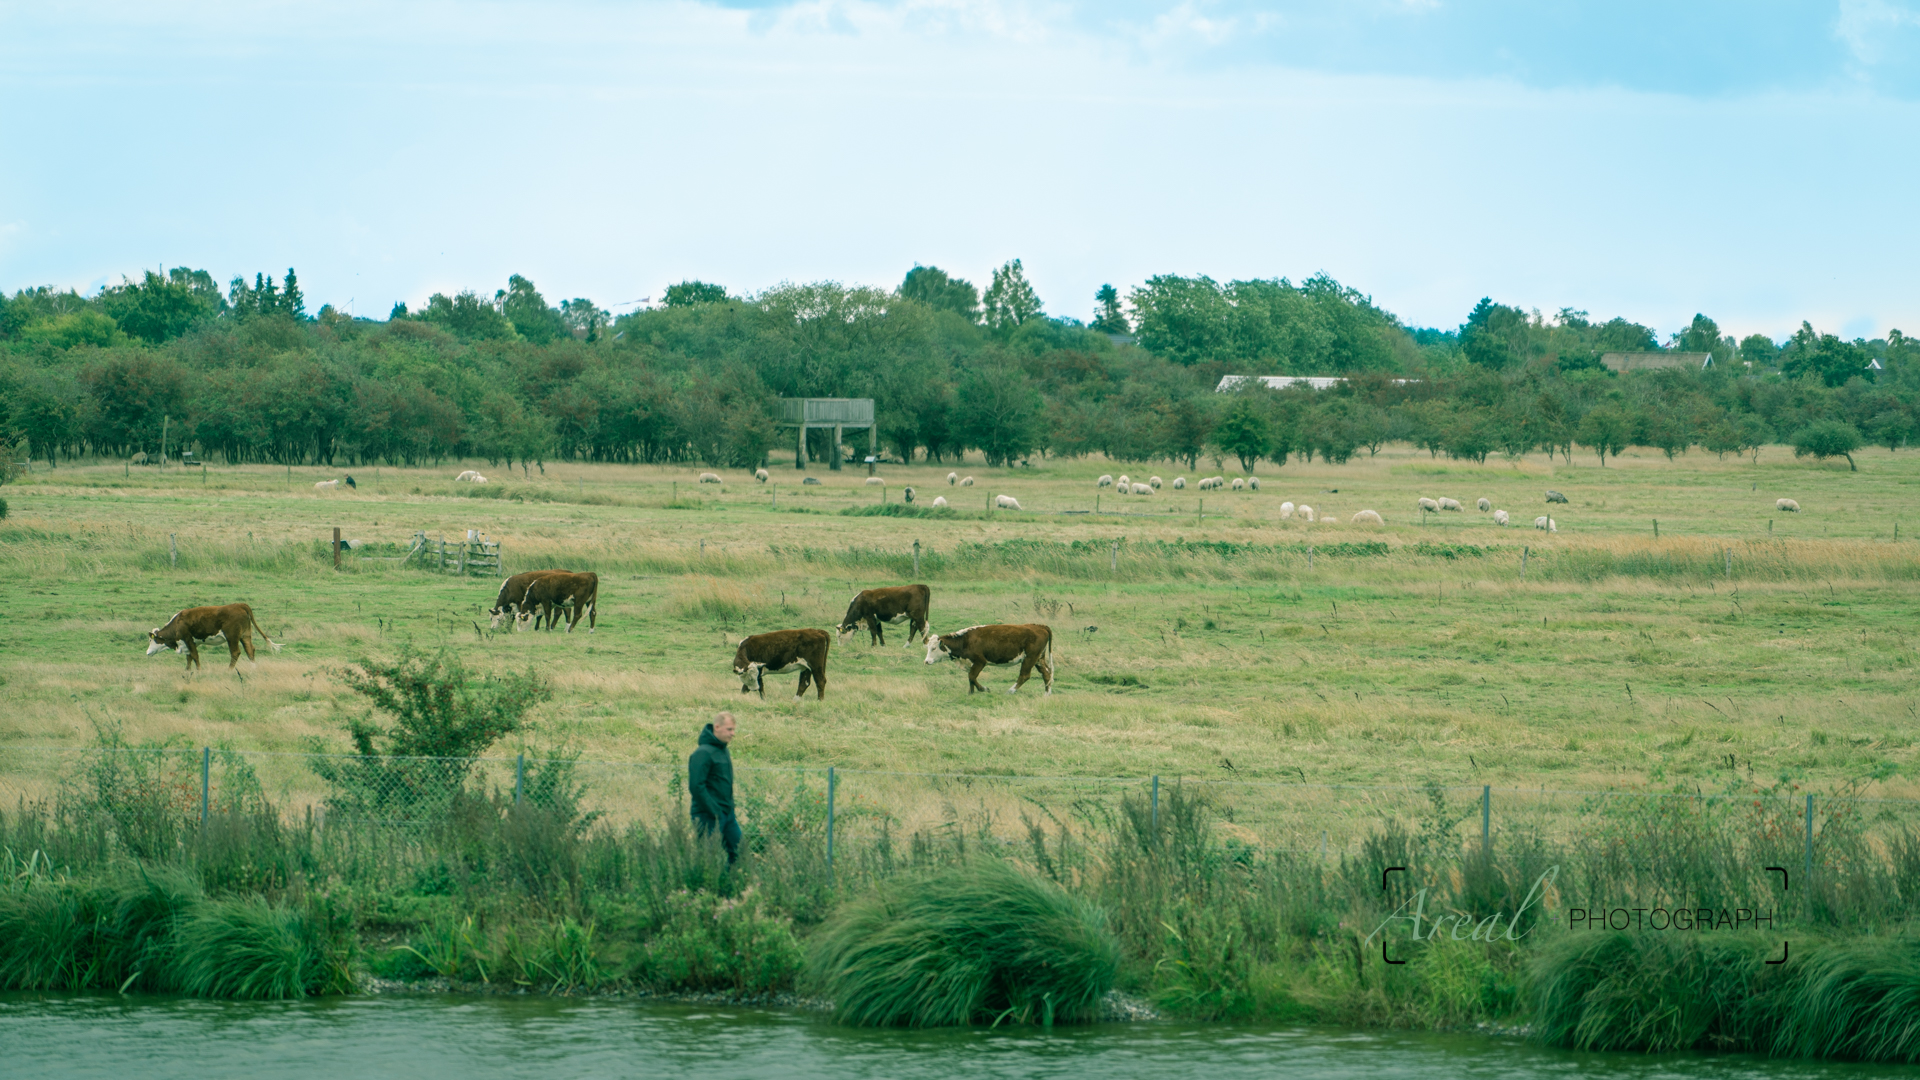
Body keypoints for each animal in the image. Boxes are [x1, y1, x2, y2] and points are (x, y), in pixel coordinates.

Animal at [146, 599, 280, 668]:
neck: (177, 623)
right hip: (245, 635)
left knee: (235, 653)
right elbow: (189, 659)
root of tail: (240, 604)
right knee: (250, 650)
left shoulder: (188, 639)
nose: (147, 653)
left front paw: (198, 672)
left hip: (232, 637)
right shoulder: (189, 644)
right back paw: (253, 668)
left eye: (151, 640)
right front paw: (187, 673)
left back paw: (229, 671)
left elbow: (195, 656)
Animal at [925, 622, 1059, 699]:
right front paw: (971, 693)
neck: (965, 640)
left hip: (1029, 658)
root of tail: (1039, 626)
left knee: (1024, 676)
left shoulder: (980, 661)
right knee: (1046, 673)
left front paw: (984, 689)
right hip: (1038, 658)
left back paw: (1010, 691)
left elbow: (972, 676)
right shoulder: (971, 663)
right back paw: (1047, 694)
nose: (926, 661)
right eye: (927, 647)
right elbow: (971, 679)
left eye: (934, 648)